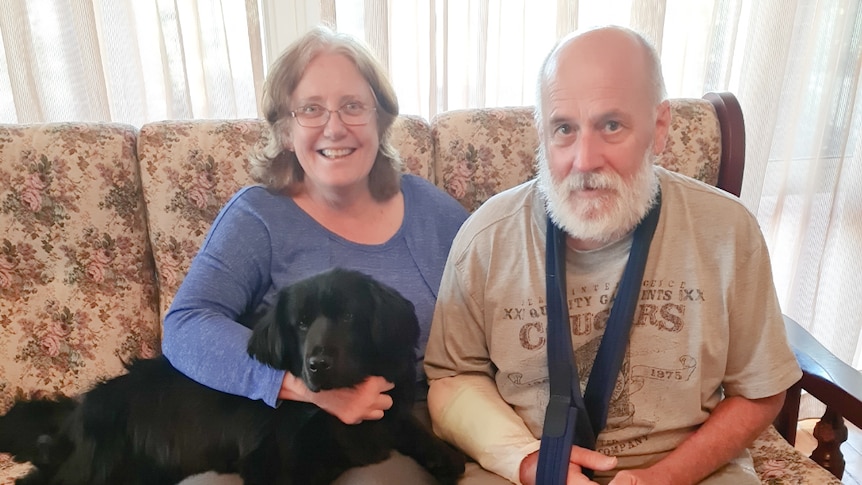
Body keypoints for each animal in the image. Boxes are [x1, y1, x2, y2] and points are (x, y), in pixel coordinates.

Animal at [0, 268, 466, 484]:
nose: (317, 364)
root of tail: (78, 408)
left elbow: (409, 426)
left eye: (349, 317)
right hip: (99, 467)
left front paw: (444, 456)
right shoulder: (273, 462)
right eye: (300, 324)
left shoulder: (386, 412)